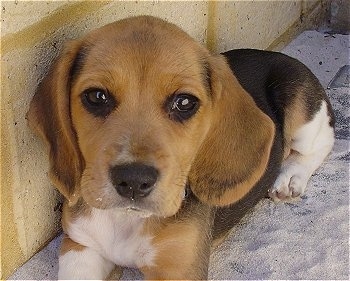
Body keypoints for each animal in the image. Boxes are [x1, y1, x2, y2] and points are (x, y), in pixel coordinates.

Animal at [26, 15, 334, 280]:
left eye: (184, 103)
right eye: (97, 96)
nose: (134, 180)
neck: (127, 220)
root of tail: (283, 57)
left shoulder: (179, 267)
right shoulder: (79, 245)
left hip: (301, 111)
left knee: (323, 141)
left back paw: (290, 177)